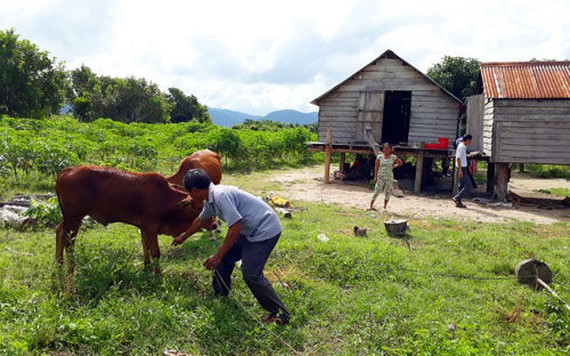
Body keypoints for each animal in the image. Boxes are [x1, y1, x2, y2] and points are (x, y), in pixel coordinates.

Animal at [56, 167, 204, 276]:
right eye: (198, 208)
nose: (210, 222)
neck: (166, 199)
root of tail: (67, 170)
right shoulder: (151, 226)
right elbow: (155, 252)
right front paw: (158, 274)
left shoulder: (144, 227)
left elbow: (145, 246)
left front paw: (147, 266)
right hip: (74, 218)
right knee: (69, 244)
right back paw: (70, 272)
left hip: (69, 218)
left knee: (59, 230)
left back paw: (58, 264)